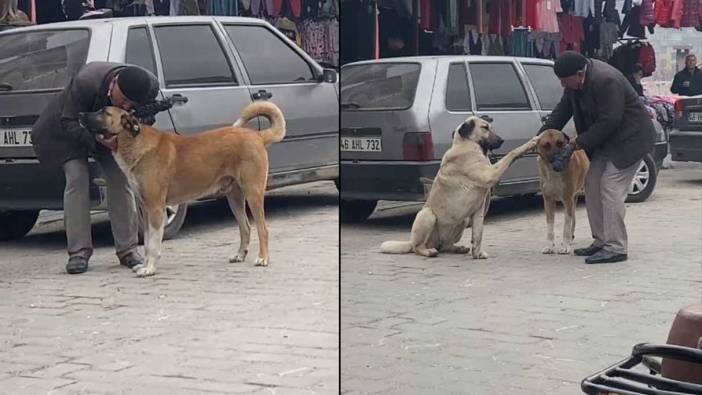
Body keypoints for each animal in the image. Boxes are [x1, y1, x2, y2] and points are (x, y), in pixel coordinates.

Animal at [77, 100, 286, 276]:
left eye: (103, 111)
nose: (79, 113)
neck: (135, 141)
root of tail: (257, 135)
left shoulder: (155, 208)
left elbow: (153, 243)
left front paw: (150, 268)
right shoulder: (146, 209)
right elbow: (147, 244)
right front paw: (144, 265)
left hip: (253, 193)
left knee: (263, 229)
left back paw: (263, 258)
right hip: (234, 198)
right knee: (246, 227)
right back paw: (240, 255)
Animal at [382, 117, 540, 260]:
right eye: (485, 128)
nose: (501, 140)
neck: (467, 144)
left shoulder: (479, 210)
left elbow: (478, 233)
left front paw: (477, 254)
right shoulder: (490, 174)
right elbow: (512, 153)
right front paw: (529, 143)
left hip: (462, 220)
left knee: (445, 246)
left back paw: (457, 248)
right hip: (427, 215)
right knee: (418, 247)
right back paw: (429, 251)